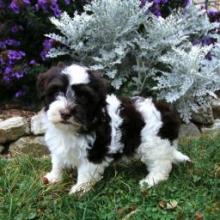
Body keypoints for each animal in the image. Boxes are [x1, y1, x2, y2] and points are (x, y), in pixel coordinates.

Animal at [37, 63, 190, 194]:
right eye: (56, 92)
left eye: (83, 97)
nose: (65, 113)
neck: (70, 129)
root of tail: (167, 112)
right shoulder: (58, 145)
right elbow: (57, 161)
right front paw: (53, 177)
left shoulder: (94, 151)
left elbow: (86, 172)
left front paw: (80, 189)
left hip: (155, 144)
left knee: (161, 165)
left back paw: (151, 180)